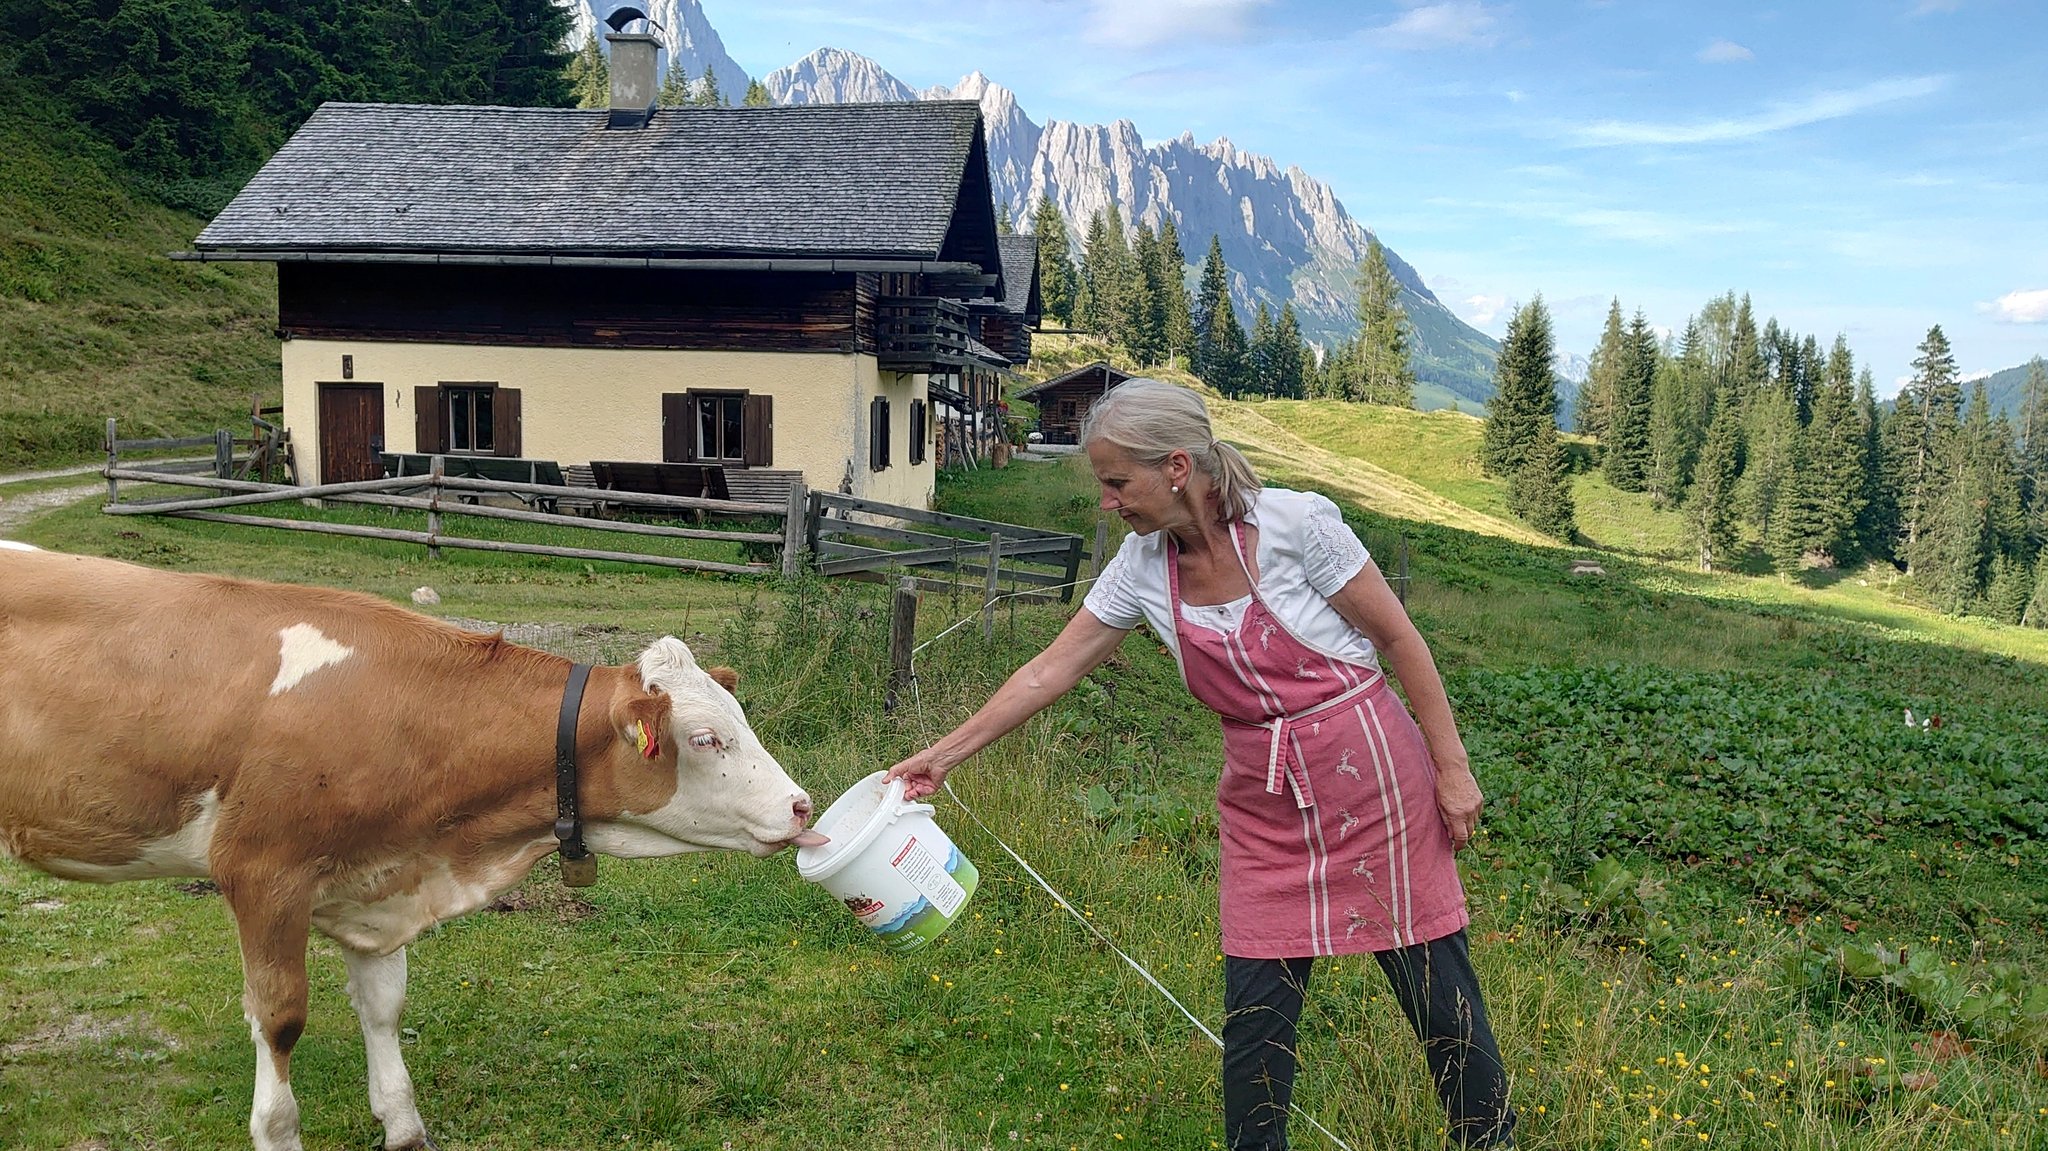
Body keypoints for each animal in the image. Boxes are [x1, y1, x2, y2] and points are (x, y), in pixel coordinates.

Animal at [2, 540, 815, 1146]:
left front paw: (402, 1124)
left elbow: (384, 1007)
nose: (802, 805)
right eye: (705, 738)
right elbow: (280, 1016)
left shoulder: (380, 879)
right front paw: (278, 1129)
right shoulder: (260, 872)